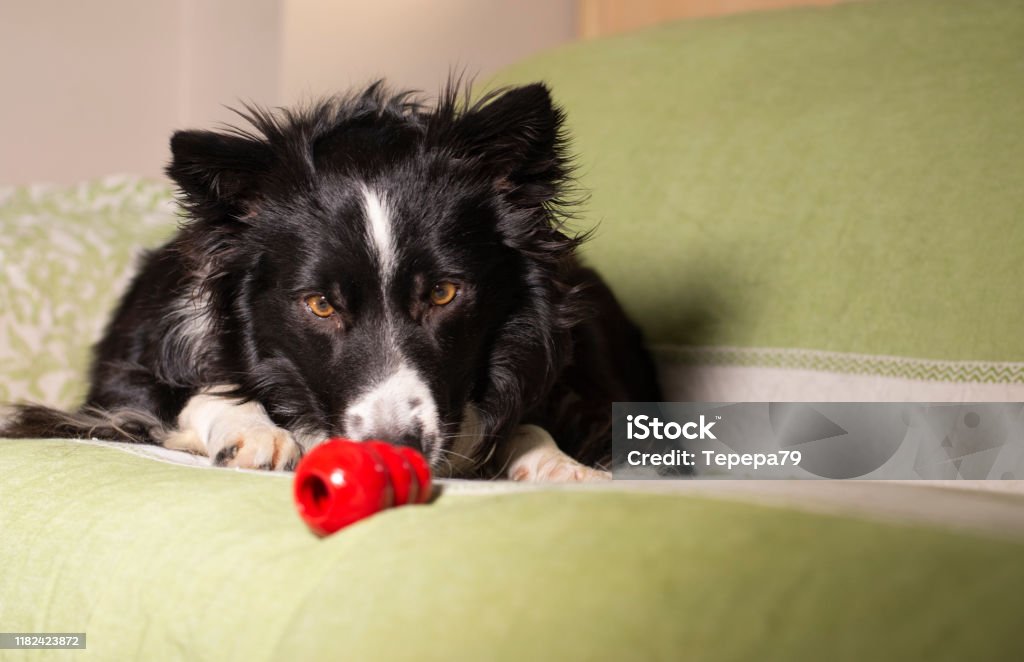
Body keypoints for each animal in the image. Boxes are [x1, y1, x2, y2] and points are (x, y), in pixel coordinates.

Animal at [4, 83, 659, 481]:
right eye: (320, 305)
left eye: (443, 293)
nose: (396, 449)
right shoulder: (124, 378)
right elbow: (196, 392)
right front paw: (255, 432)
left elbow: (531, 419)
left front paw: (560, 464)